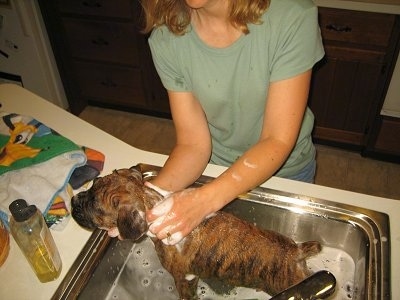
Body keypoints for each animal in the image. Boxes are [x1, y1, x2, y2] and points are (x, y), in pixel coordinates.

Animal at [71, 168, 322, 298]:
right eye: (94, 181)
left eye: (93, 205)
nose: (73, 200)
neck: (152, 202)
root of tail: (297, 252)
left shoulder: (183, 278)